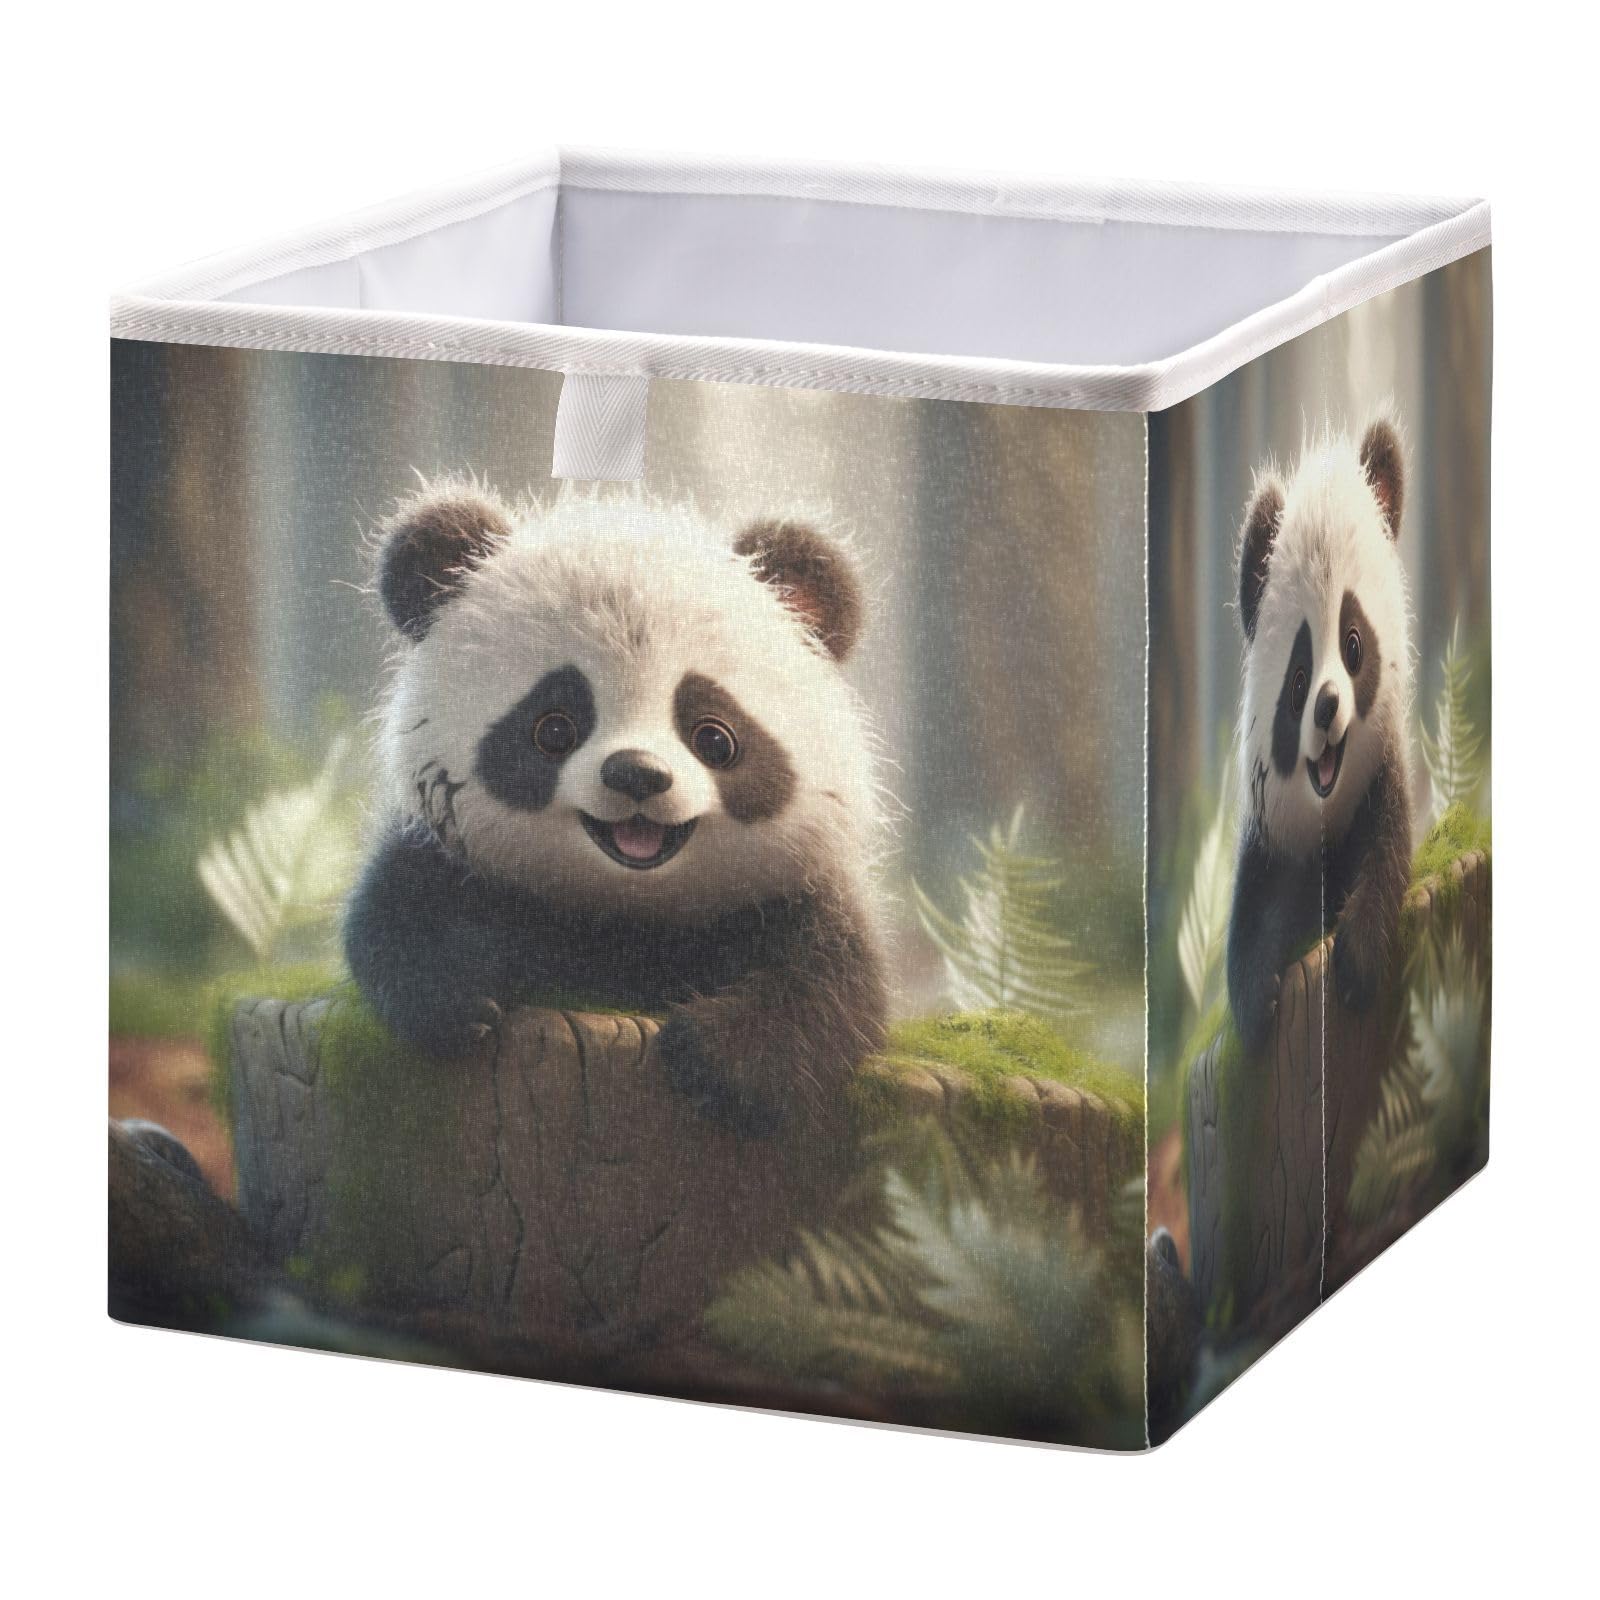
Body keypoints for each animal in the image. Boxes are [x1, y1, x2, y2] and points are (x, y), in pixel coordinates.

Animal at [343, 481, 888, 1136]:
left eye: (714, 736)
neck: (624, 913)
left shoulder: (791, 886)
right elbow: (394, 917)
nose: (637, 774)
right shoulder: (448, 851)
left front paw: (721, 1063)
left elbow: (834, 980)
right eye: (554, 727)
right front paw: (463, 998)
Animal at [1226, 416, 1414, 1056]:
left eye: (1353, 643)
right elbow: (1256, 912)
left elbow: (1385, 857)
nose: (1328, 706)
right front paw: (1258, 1004)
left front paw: (1357, 962)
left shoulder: (1380, 786)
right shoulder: (1272, 838)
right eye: (1299, 676)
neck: (1325, 812)